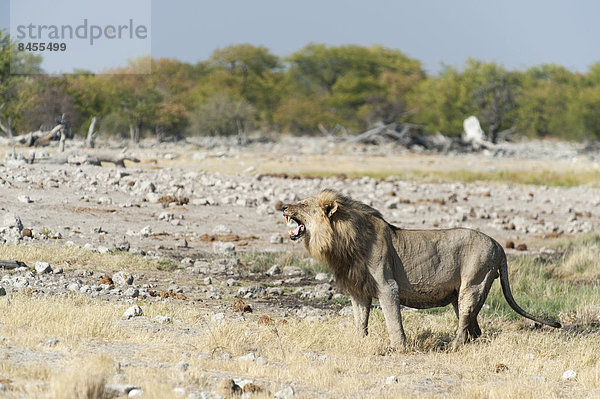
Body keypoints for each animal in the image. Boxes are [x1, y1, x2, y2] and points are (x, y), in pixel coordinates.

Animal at [282, 191, 564, 350]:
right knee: (474, 328)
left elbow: (393, 321)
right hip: (461, 294)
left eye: (302, 205)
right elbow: (360, 321)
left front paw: (399, 348)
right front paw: (357, 343)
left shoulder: (387, 286)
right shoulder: (359, 290)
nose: (283, 207)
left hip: (474, 284)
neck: (342, 240)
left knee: (464, 325)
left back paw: (451, 347)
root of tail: (498, 244)